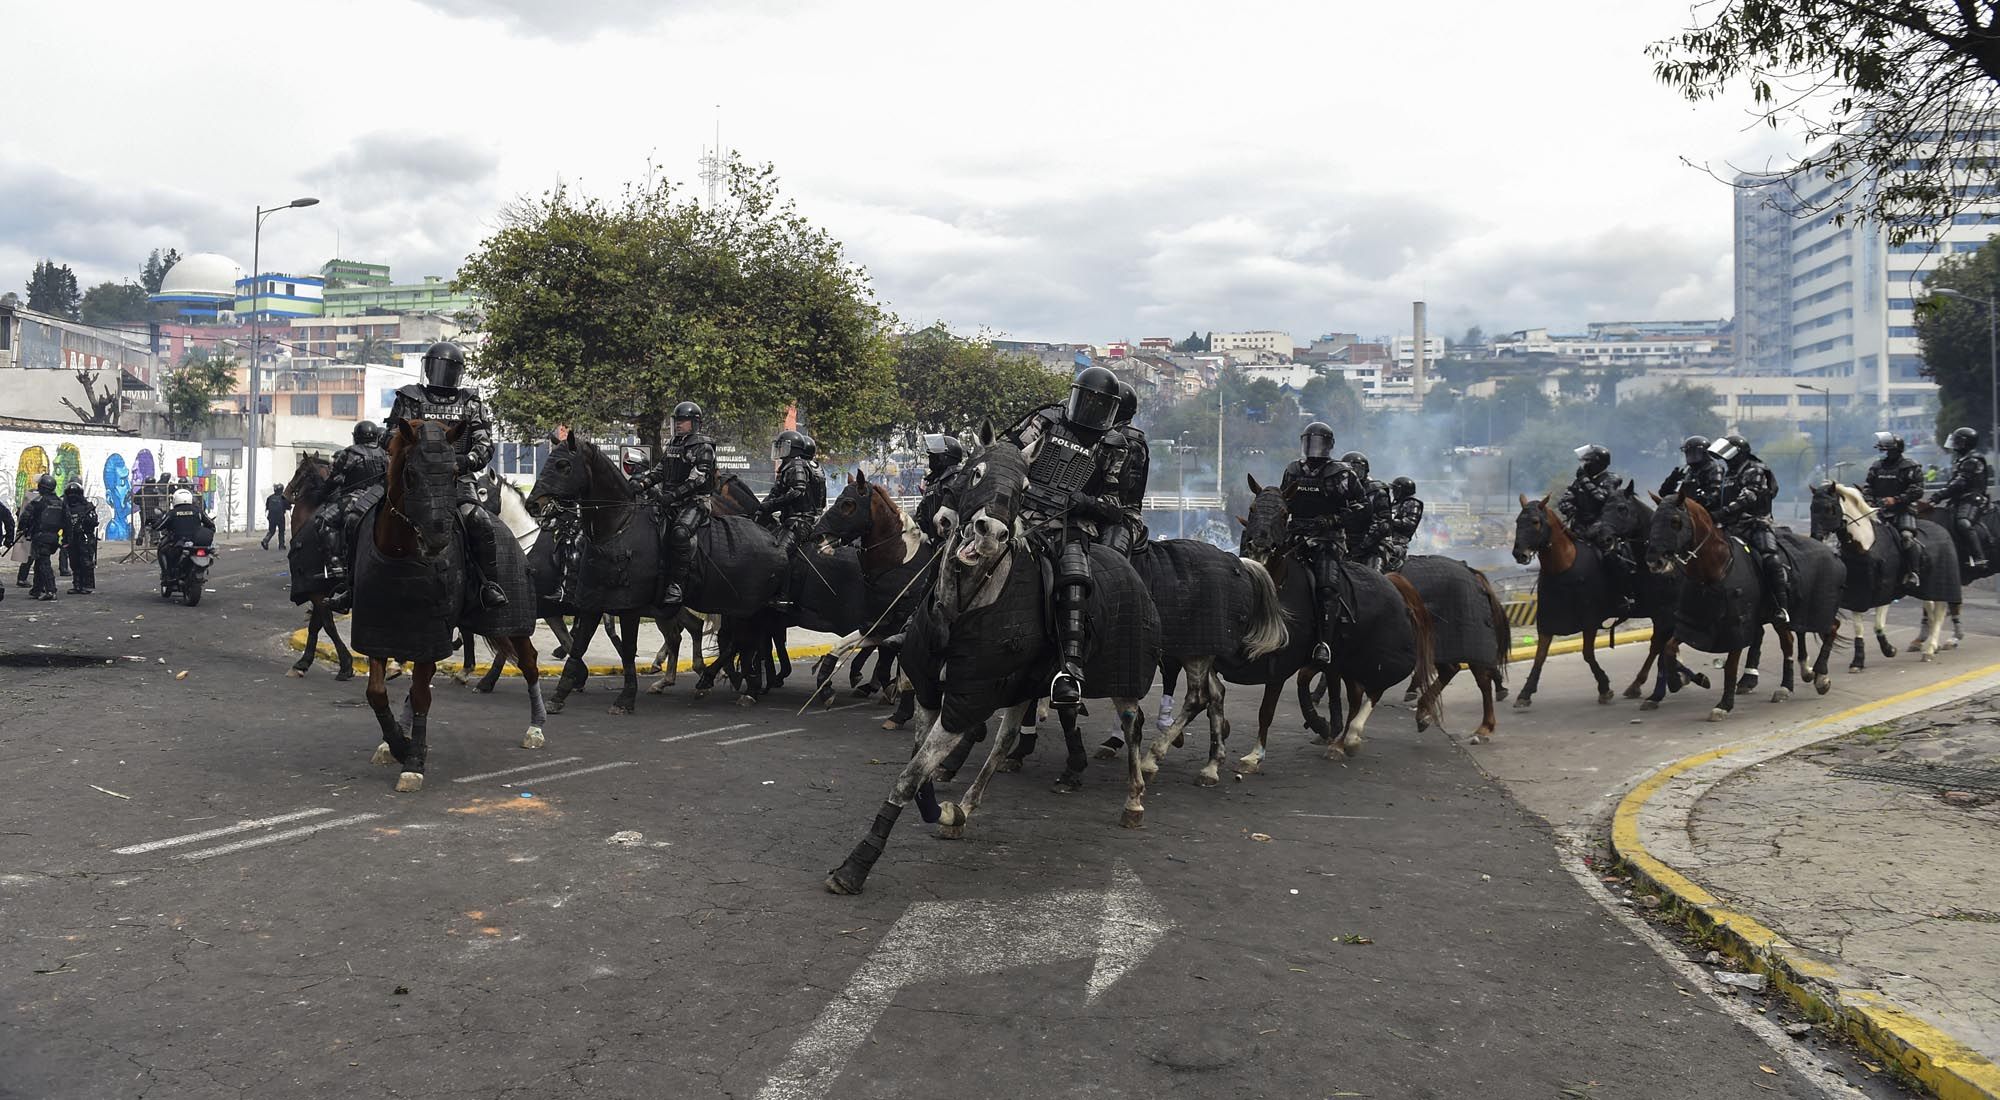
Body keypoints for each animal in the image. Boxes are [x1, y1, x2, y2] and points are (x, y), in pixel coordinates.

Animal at [284, 454, 358, 680]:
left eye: (299, 471)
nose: (286, 494)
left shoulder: (316, 589)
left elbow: (327, 624)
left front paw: (346, 664)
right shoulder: (322, 591)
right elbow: (316, 624)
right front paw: (304, 661)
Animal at [346, 422, 548, 792]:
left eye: (455, 472)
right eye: (410, 473)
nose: (436, 539)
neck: (400, 553)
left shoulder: (431, 636)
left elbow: (421, 695)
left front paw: (412, 762)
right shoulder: (379, 634)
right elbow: (379, 692)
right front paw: (399, 744)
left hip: (512, 622)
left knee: (529, 662)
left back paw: (535, 727)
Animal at [1232, 476, 1440, 776]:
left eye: (1284, 513)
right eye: (1251, 508)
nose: (1259, 545)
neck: (1275, 586)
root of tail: (1389, 581)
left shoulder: (1287, 661)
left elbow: (1271, 706)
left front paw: (1256, 755)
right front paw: (1322, 725)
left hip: (1377, 658)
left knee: (1374, 690)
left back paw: (1352, 737)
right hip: (1349, 662)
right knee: (1355, 695)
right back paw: (1339, 743)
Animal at [1640, 494, 1840, 720]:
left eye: (1675, 521)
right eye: (1654, 521)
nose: (1654, 561)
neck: (1715, 570)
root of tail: (1829, 550)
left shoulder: (1736, 627)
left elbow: (1730, 667)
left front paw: (1724, 705)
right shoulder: (1692, 624)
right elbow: (1668, 650)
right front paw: (1684, 680)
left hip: (1813, 610)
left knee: (1832, 627)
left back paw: (1820, 677)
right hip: (1779, 617)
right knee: (1789, 641)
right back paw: (1785, 687)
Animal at [1808, 488, 1960, 668]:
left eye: (1830, 509)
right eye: (1812, 508)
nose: (1816, 537)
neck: (1864, 545)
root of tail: (1942, 529)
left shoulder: (1885, 590)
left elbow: (1878, 625)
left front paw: (1889, 649)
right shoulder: (1857, 592)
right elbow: (1858, 628)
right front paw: (1858, 661)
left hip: (1939, 585)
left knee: (1939, 612)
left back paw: (1930, 649)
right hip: (1925, 588)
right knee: (1931, 610)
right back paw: (1931, 645)